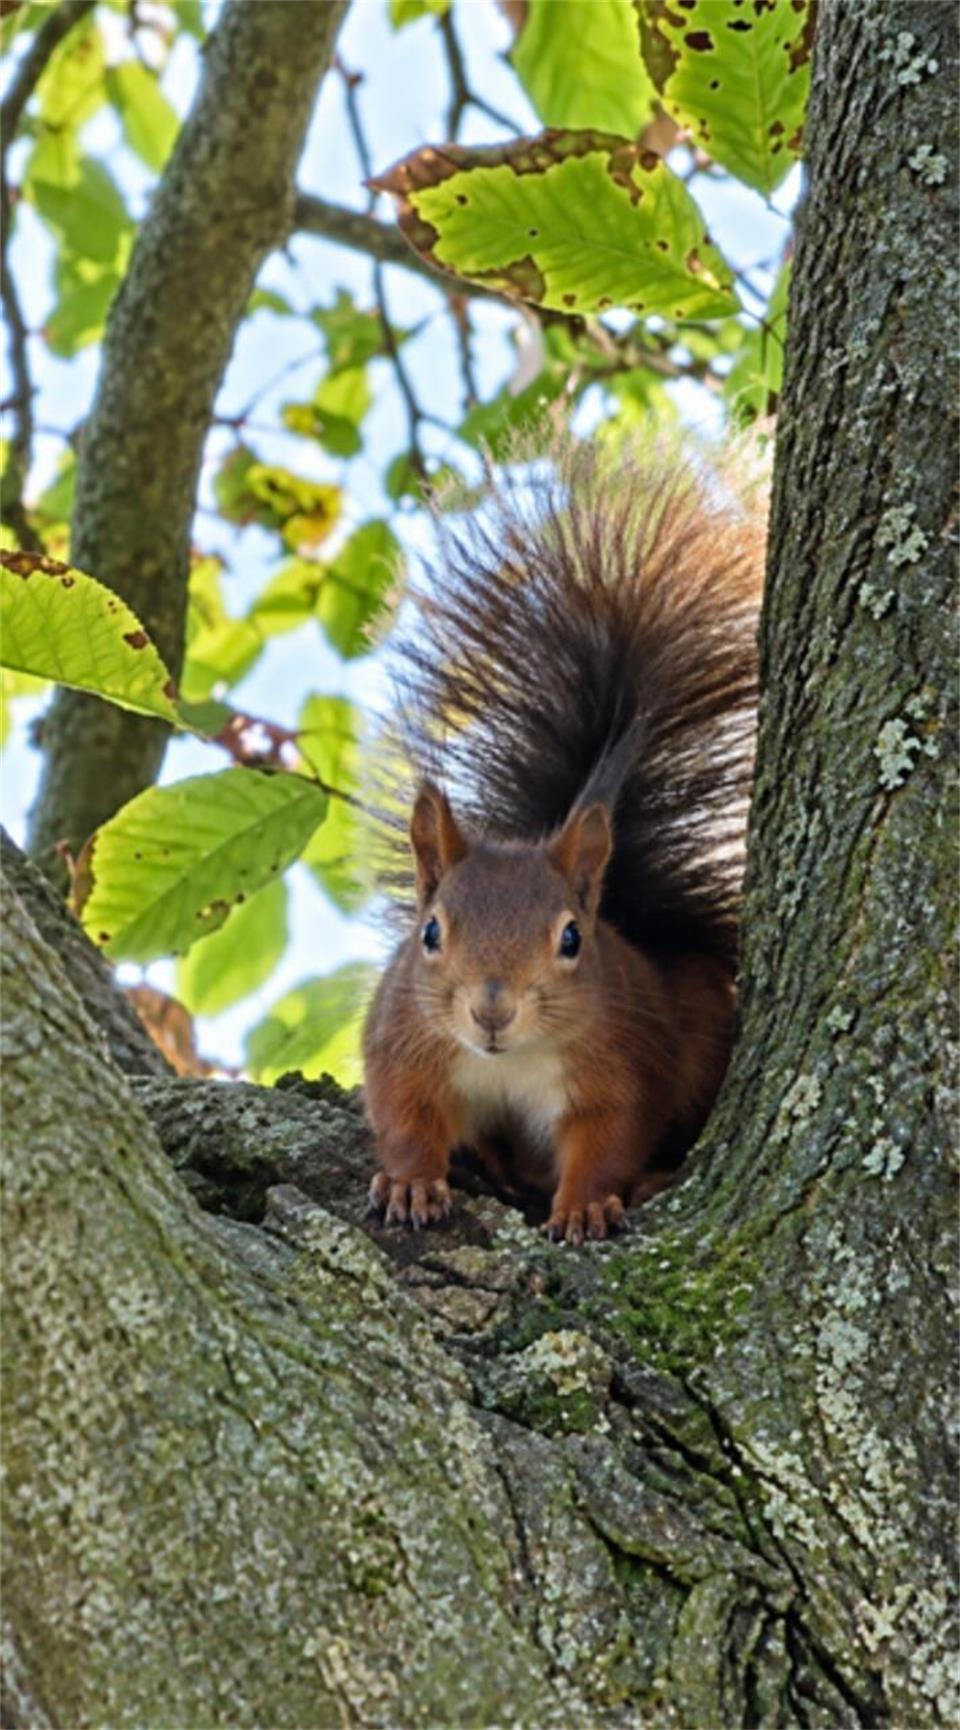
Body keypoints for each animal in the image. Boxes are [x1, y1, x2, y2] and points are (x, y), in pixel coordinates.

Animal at [363, 441, 763, 1244]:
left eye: (573, 938)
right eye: (429, 933)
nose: (492, 1011)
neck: (508, 1061)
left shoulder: (618, 1066)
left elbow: (608, 1138)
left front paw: (584, 1204)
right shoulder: (403, 1042)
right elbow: (403, 1116)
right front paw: (411, 1182)